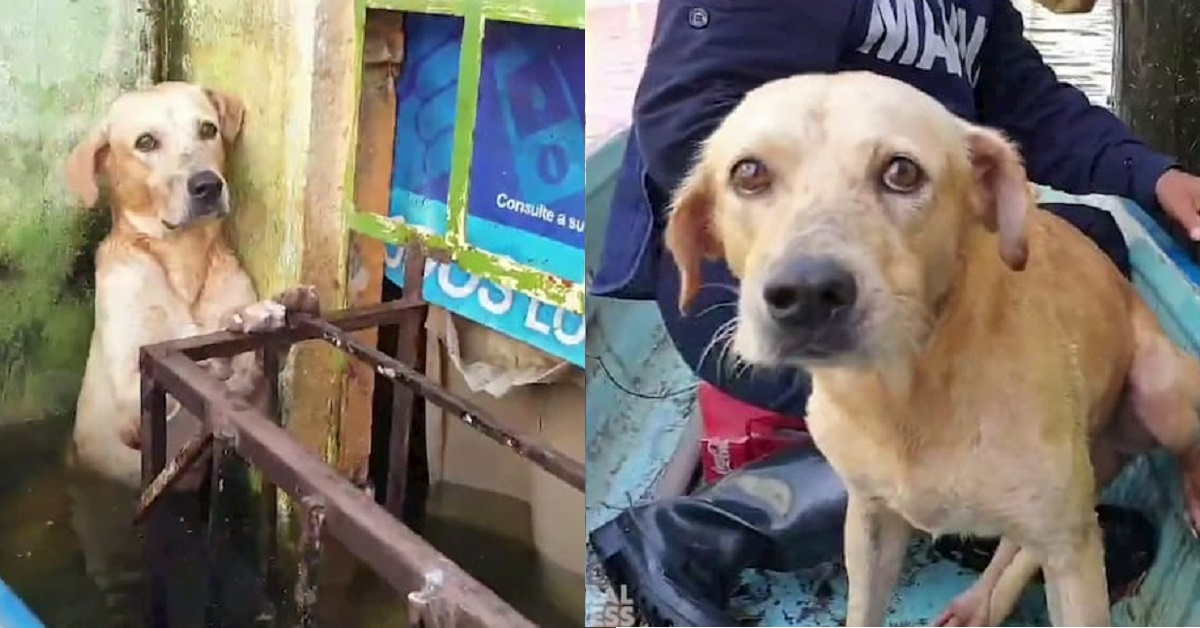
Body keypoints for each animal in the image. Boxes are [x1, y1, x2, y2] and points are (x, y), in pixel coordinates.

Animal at [662, 71, 1200, 624]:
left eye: (902, 172)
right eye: (748, 173)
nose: (808, 293)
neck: (903, 397)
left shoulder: (1071, 550)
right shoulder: (869, 519)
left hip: (1160, 393)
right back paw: (979, 602)